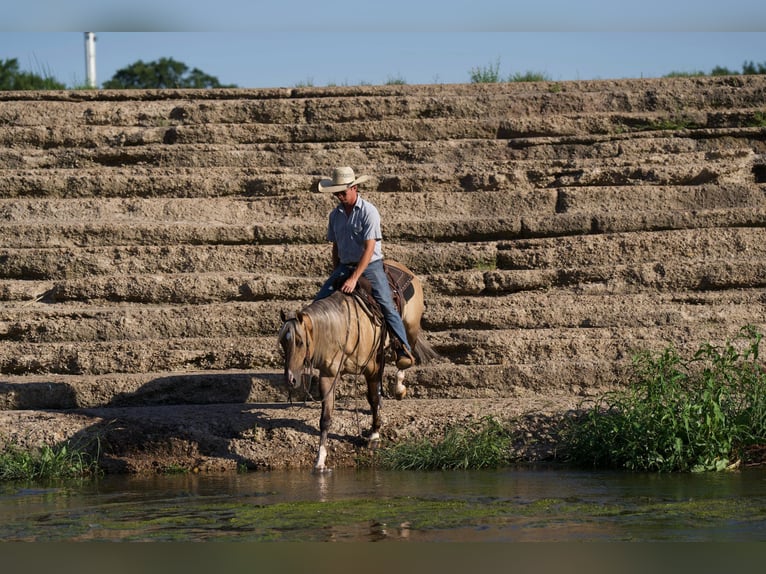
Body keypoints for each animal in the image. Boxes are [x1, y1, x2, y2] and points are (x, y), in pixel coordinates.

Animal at [278, 260, 438, 472]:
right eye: (282, 342)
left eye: (300, 342)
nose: (290, 379)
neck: (346, 326)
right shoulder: (328, 375)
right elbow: (325, 418)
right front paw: (320, 461)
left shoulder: (372, 367)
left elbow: (372, 398)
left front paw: (375, 435)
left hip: (409, 328)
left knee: (404, 356)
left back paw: (399, 388)